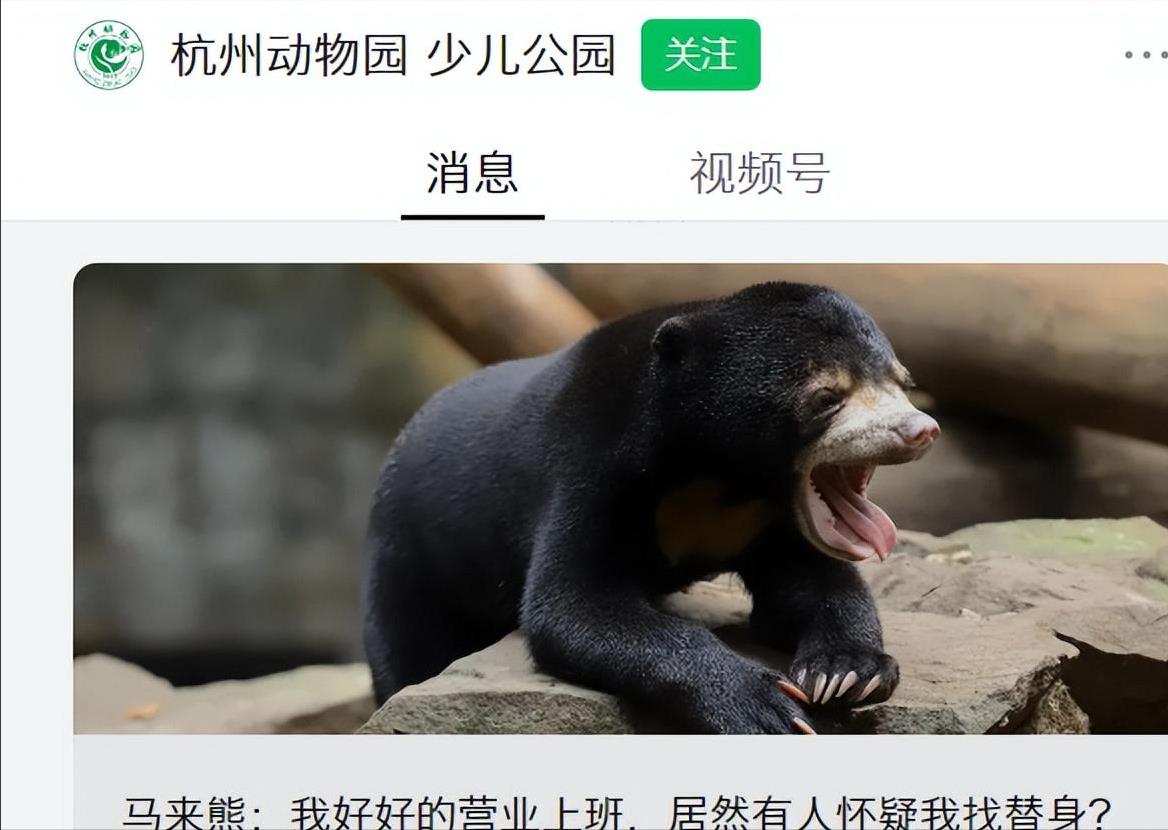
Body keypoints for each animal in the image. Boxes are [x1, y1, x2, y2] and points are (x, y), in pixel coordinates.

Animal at [362, 281, 939, 733]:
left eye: (902, 381)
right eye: (826, 397)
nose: (920, 431)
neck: (716, 470)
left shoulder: (766, 515)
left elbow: (811, 582)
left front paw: (845, 673)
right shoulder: (591, 466)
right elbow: (572, 604)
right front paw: (766, 705)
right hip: (411, 564)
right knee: (410, 650)